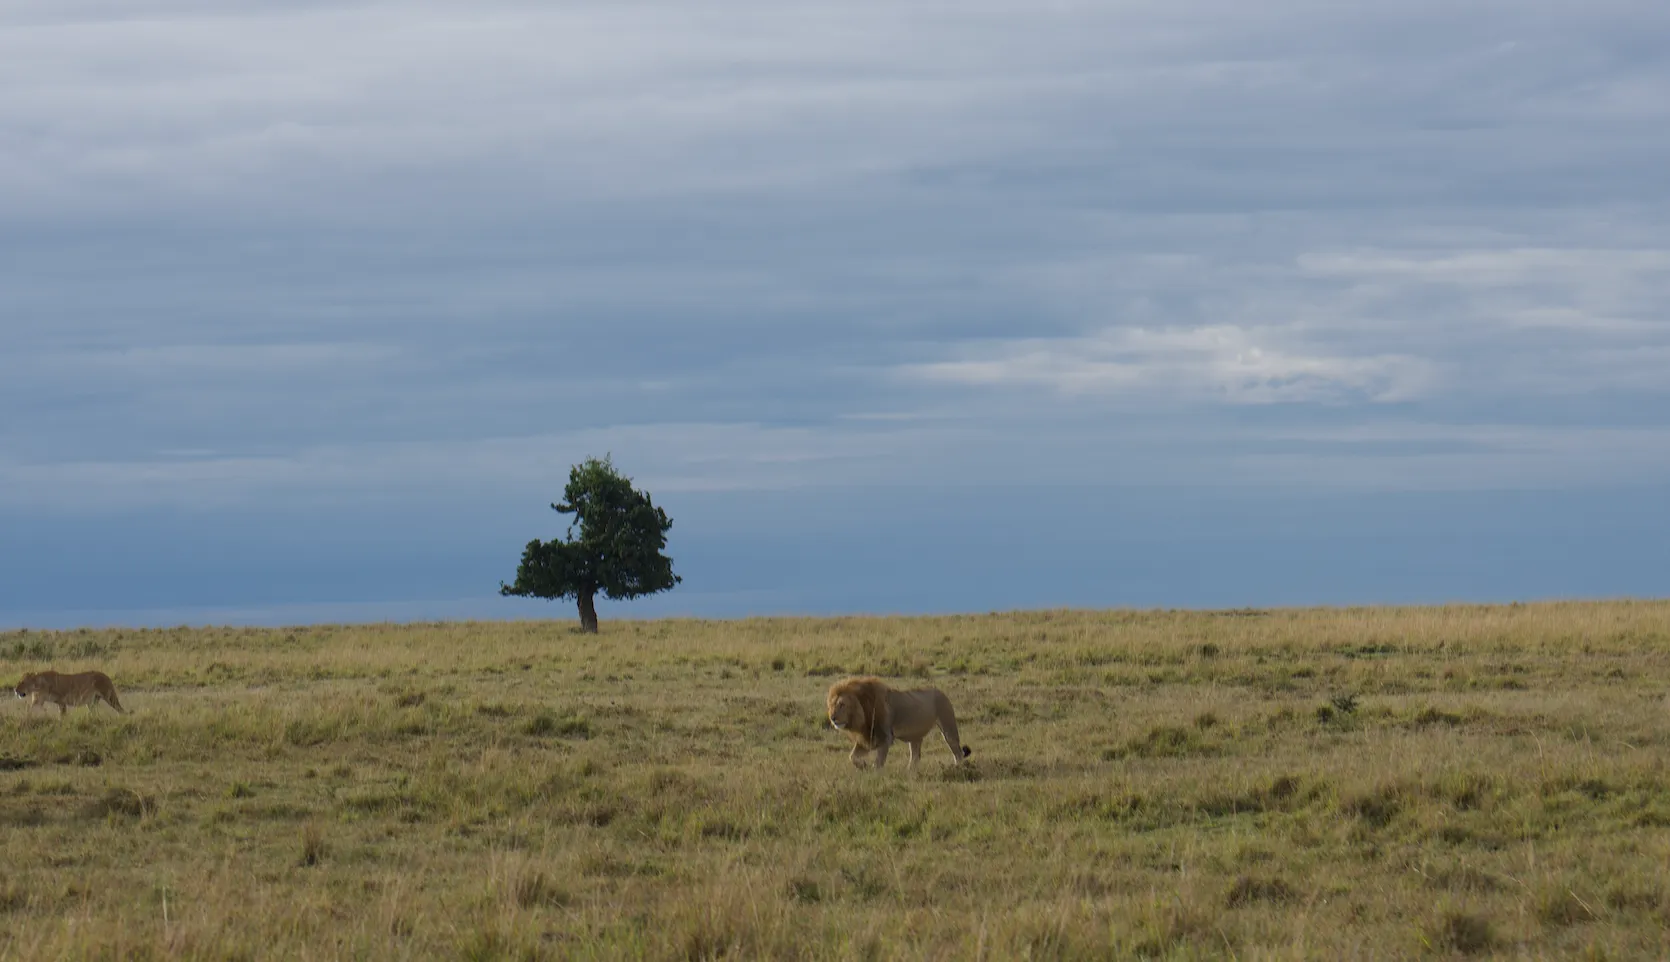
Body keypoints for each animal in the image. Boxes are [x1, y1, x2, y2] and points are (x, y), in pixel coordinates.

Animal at [826, 676, 970, 772]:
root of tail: (941, 692)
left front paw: (874, 773)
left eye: (842, 704)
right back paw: (909, 771)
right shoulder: (868, 738)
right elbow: (852, 757)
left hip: (948, 727)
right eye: (832, 705)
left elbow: (878, 762)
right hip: (915, 736)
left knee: (958, 752)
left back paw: (958, 768)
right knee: (915, 756)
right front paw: (863, 766)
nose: (832, 718)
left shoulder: (885, 738)